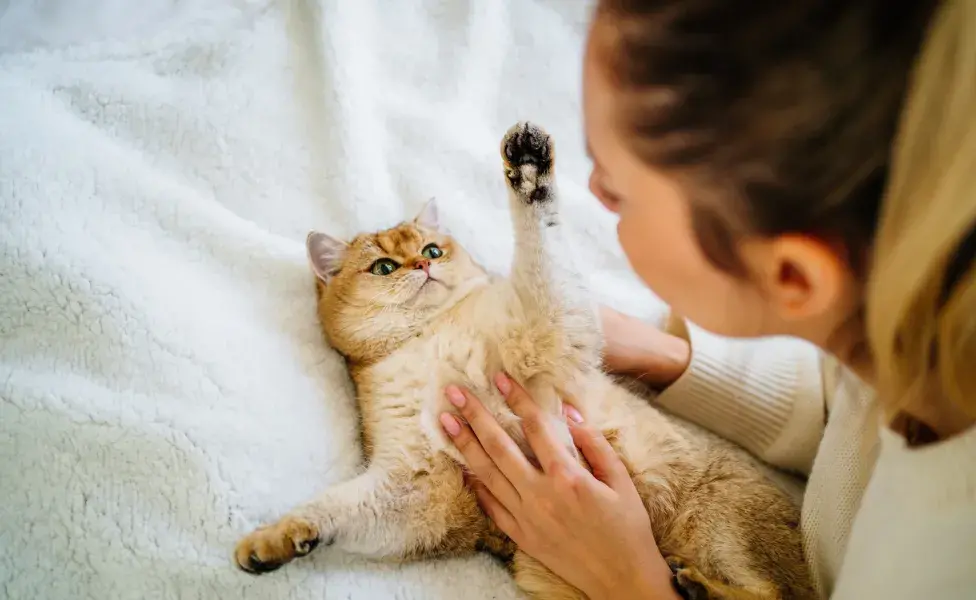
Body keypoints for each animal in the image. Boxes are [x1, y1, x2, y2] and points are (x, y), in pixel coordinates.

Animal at [234, 122, 816, 600]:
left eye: (433, 249)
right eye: (382, 266)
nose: (422, 266)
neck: (428, 339)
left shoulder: (549, 332)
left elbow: (540, 245)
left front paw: (531, 169)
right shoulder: (422, 487)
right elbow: (339, 508)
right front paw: (276, 541)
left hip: (724, 521)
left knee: (773, 594)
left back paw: (699, 585)